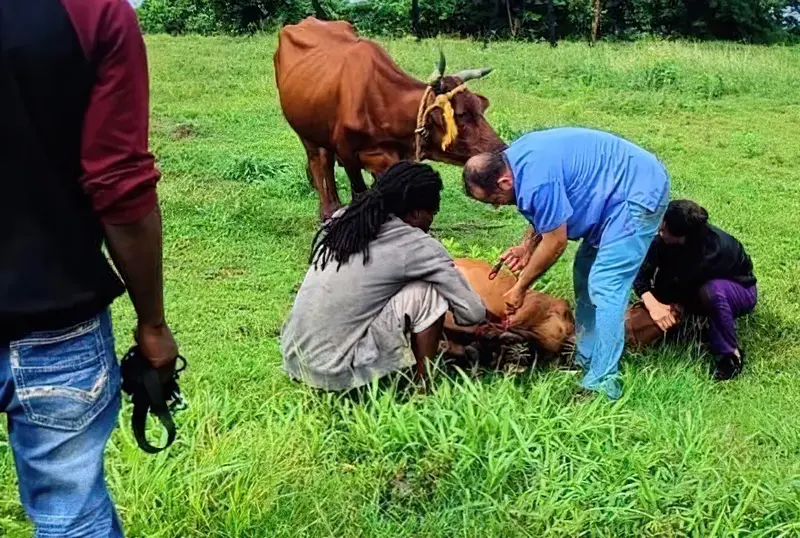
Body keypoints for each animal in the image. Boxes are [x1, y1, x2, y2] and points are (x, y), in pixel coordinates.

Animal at [272, 17, 504, 218]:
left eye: (480, 108)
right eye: (462, 114)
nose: (501, 149)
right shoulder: (347, 154)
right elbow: (359, 194)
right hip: (306, 133)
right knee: (320, 164)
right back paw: (328, 211)